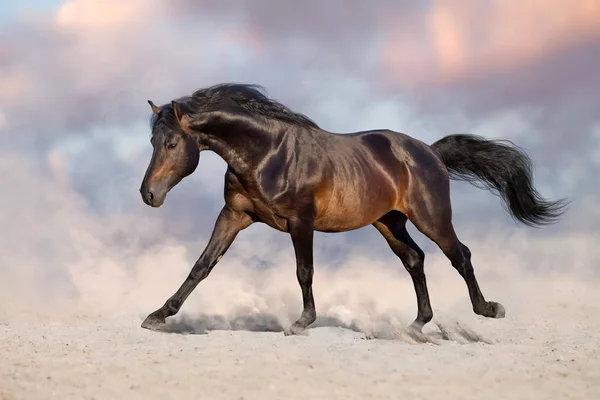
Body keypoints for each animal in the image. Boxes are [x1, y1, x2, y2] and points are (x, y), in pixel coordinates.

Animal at [139, 83, 568, 336]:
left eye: (173, 144)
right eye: (153, 141)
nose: (148, 194)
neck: (268, 154)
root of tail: (429, 152)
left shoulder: (301, 221)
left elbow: (304, 271)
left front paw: (302, 322)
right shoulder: (234, 217)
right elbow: (201, 266)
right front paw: (158, 315)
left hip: (431, 218)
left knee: (459, 255)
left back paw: (488, 309)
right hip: (389, 223)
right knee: (415, 260)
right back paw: (417, 324)